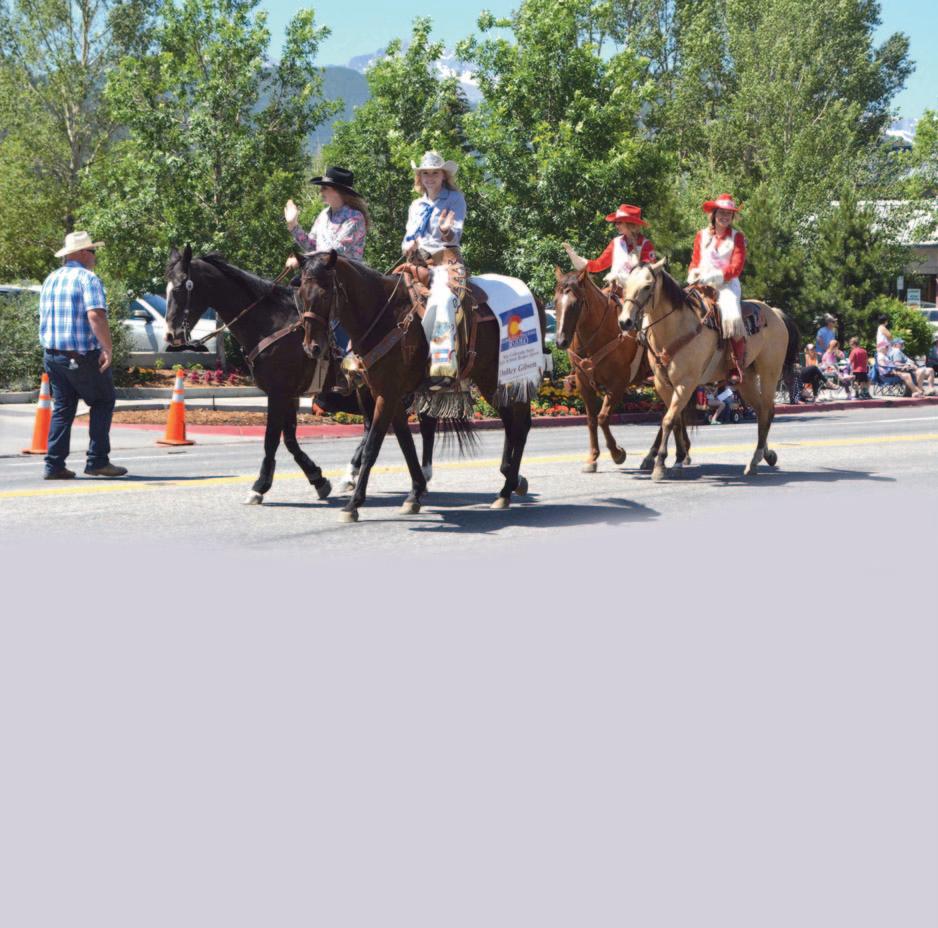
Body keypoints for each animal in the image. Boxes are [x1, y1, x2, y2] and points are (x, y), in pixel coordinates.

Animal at [299, 251, 543, 523]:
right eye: (301, 294)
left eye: (325, 294)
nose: (312, 347)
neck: (383, 317)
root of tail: (535, 299)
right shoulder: (387, 395)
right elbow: (406, 443)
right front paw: (414, 493)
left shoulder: (387, 394)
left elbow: (372, 446)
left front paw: (353, 504)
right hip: (490, 380)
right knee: (511, 424)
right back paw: (510, 483)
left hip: (508, 376)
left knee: (520, 426)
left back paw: (507, 488)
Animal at [552, 266, 695, 473]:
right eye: (555, 301)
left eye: (577, 303)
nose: (561, 341)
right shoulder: (583, 383)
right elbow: (591, 419)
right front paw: (592, 458)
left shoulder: (617, 384)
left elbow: (603, 417)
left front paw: (617, 453)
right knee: (674, 411)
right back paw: (670, 454)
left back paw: (666, 455)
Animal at [617, 259, 799, 479]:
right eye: (625, 285)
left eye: (647, 286)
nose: (625, 321)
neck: (674, 330)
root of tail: (774, 313)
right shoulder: (663, 384)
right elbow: (674, 419)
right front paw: (677, 459)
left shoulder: (686, 383)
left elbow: (668, 420)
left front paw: (660, 464)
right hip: (746, 380)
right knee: (761, 411)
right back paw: (766, 455)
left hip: (769, 373)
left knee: (768, 410)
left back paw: (755, 460)